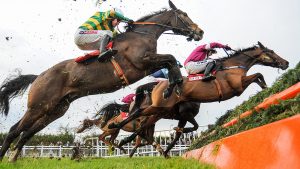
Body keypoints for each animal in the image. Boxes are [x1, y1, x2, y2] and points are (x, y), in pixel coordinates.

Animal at [0, 0, 204, 162]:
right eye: (184, 15)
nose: (199, 31)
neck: (143, 35)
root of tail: (39, 76)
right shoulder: (141, 61)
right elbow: (170, 58)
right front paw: (173, 86)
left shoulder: (148, 66)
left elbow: (170, 62)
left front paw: (173, 86)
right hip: (37, 107)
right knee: (14, 130)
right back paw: (6, 156)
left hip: (54, 110)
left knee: (27, 133)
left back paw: (13, 158)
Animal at [109, 41, 290, 147]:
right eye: (271, 51)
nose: (286, 63)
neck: (233, 65)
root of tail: (158, 87)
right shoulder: (236, 87)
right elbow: (258, 74)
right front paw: (267, 89)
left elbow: (259, 76)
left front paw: (266, 89)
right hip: (158, 107)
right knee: (138, 114)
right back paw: (115, 127)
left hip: (159, 109)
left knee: (142, 122)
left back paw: (124, 138)